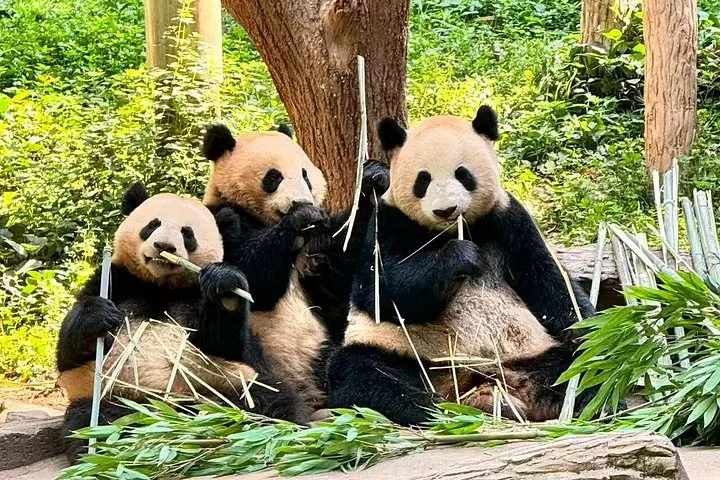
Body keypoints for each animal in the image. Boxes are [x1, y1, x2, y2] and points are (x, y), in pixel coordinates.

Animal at [55, 183, 309, 464]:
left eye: (187, 234)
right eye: (153, 224)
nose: (163, 245)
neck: (160, 286)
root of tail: (178, 415)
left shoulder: (195, 296)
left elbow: (225, 344)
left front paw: (225, 288)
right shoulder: (116, 280)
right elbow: (68, 356)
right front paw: (97, 316)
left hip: (231, 385)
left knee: (272, 400)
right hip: (114, 396)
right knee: (95, 421)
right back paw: (110, 450)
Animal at [201, 124, 389, 411]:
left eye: (305, 174)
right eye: (273, 177)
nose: (301, 202)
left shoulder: (318, 246)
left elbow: (343, 266)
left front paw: (373, 179)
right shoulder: (221, 218)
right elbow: (253, 275)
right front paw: (300, 217)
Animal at [326, 106, 596, 425]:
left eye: (462, 174)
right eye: (423, 180)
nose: (445, 210)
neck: (451, 230)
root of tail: (475, 382)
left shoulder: (508, 219)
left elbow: (549, 281)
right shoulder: (389, 222)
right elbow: (382, 291)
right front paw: (462, 257)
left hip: (528, 355)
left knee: (573, 365)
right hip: (409, 354)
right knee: (363, 373)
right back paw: (435, 409)